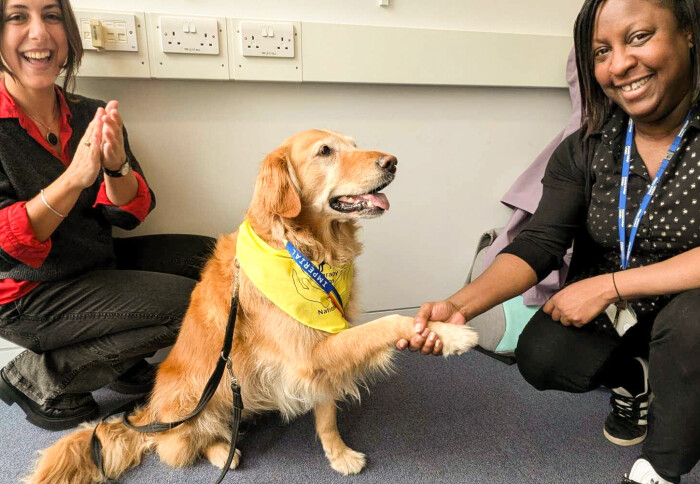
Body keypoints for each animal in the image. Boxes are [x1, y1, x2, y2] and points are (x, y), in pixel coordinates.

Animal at [24, 130, 478, 482]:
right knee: (178, 445)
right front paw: (450, 333)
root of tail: (147, 413)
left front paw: (339, 455)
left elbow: (326, 414)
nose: (392, 162)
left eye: (354, 144)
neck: (302, 248)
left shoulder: (318, 357)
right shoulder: (310, 351)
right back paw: (223, 451)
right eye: (325, 151)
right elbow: (388, 322)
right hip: (198, 403)